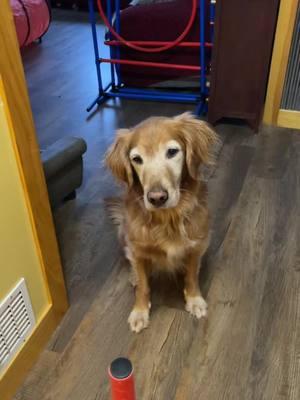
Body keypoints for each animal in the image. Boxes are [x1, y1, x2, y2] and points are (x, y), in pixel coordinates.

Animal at [105, 111, 218, 332]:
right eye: (136, 159)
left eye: (172, 152)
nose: (157, 198)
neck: (168, 218)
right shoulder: (138, 251)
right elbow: (143, 286)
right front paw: (139, 311)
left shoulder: (196, 246)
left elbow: (192, 276)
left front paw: (194, 299)